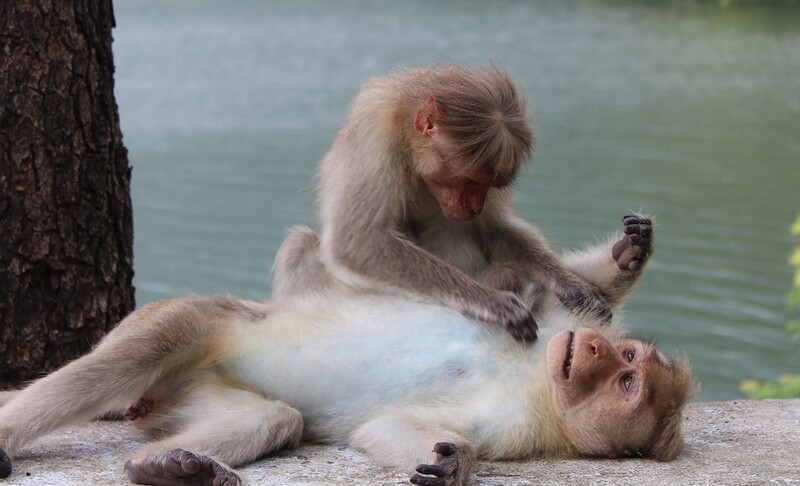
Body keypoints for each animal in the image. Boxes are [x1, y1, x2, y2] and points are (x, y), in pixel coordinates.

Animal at [0, 215, 692, 486]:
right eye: (629, 365)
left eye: (628, 385)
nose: (597, 348)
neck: (535, 375)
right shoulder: (552, 336)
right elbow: (563, 295)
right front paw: (626, 257)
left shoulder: (523, 426)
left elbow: (392, 428)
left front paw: (454, 462)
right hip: (203, 319)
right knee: (138, 350)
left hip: (194, 385)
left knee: (273, 417)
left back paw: (172, 467)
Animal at [272, 64, 608, 342]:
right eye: (471, 181)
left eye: (488, 185)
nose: (475, 207)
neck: (409, 143)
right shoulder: (374, 139)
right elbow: (358, 241)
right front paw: (487, 301)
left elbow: (495, 230)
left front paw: (567, 281)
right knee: (301, 243)